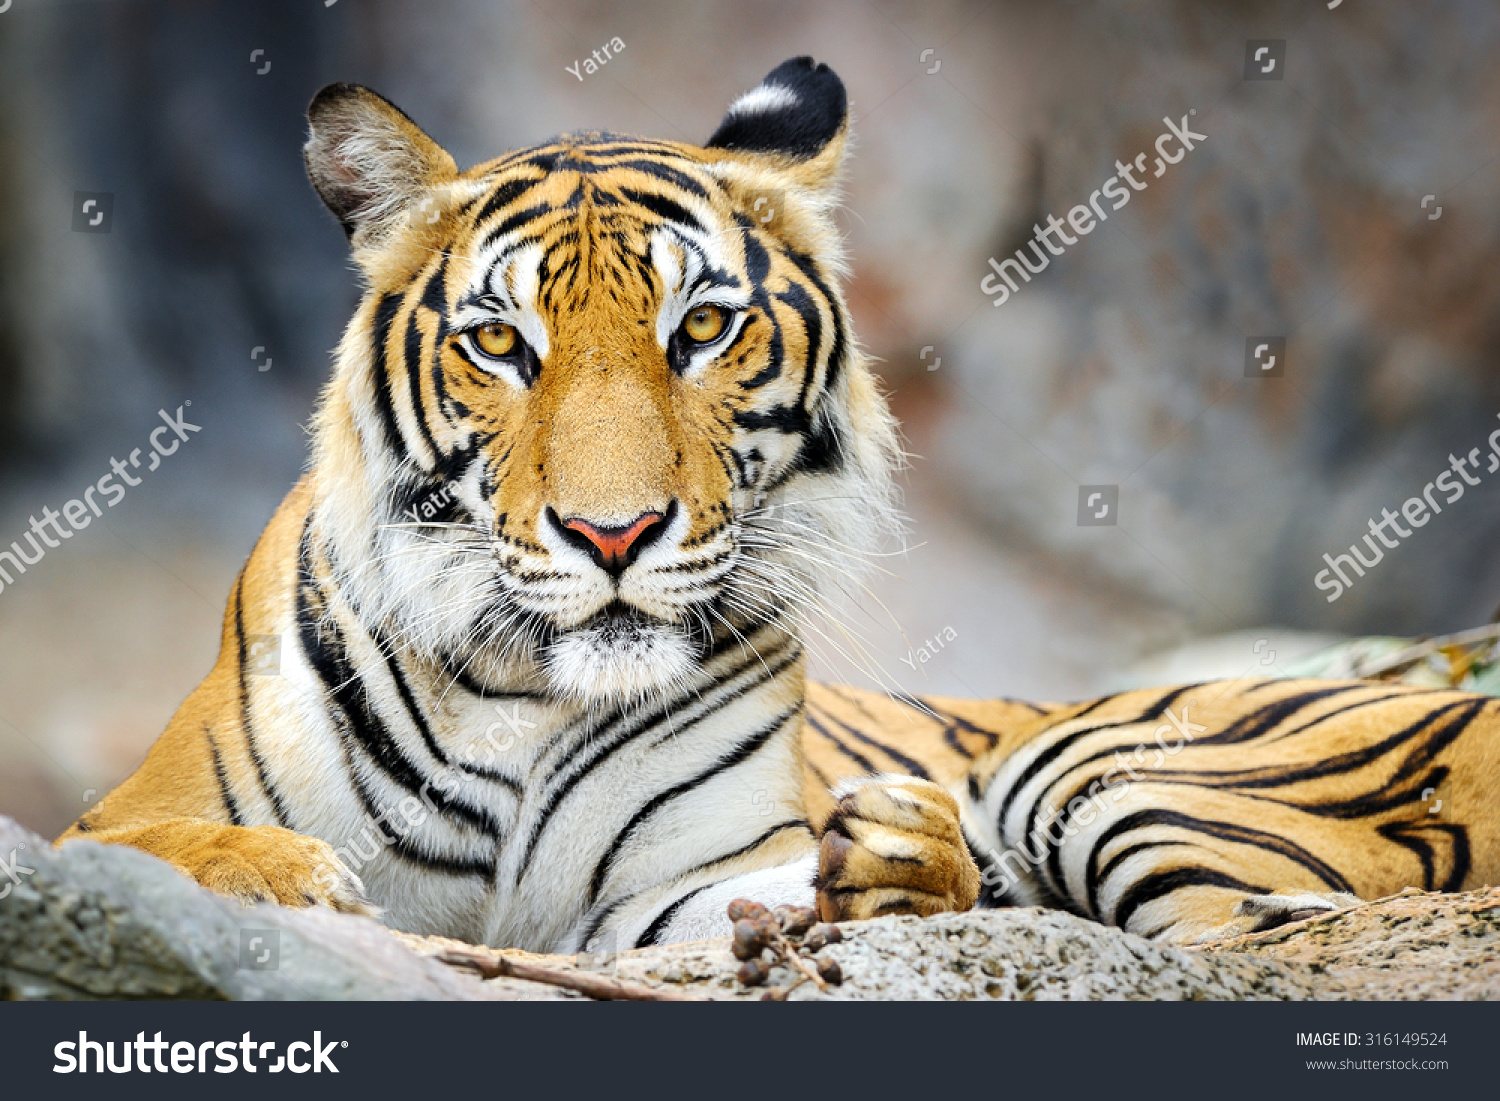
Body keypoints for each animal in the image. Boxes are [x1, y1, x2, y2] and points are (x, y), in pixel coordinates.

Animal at [59, 58, 1499, 953]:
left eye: (701, 328)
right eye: (502, 344)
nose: (615, 535)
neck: (523, 698)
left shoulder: (679, 887)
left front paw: (906, 859)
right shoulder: (112, 817)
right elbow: (158, 848)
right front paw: (284, 872)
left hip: (1109, 764)